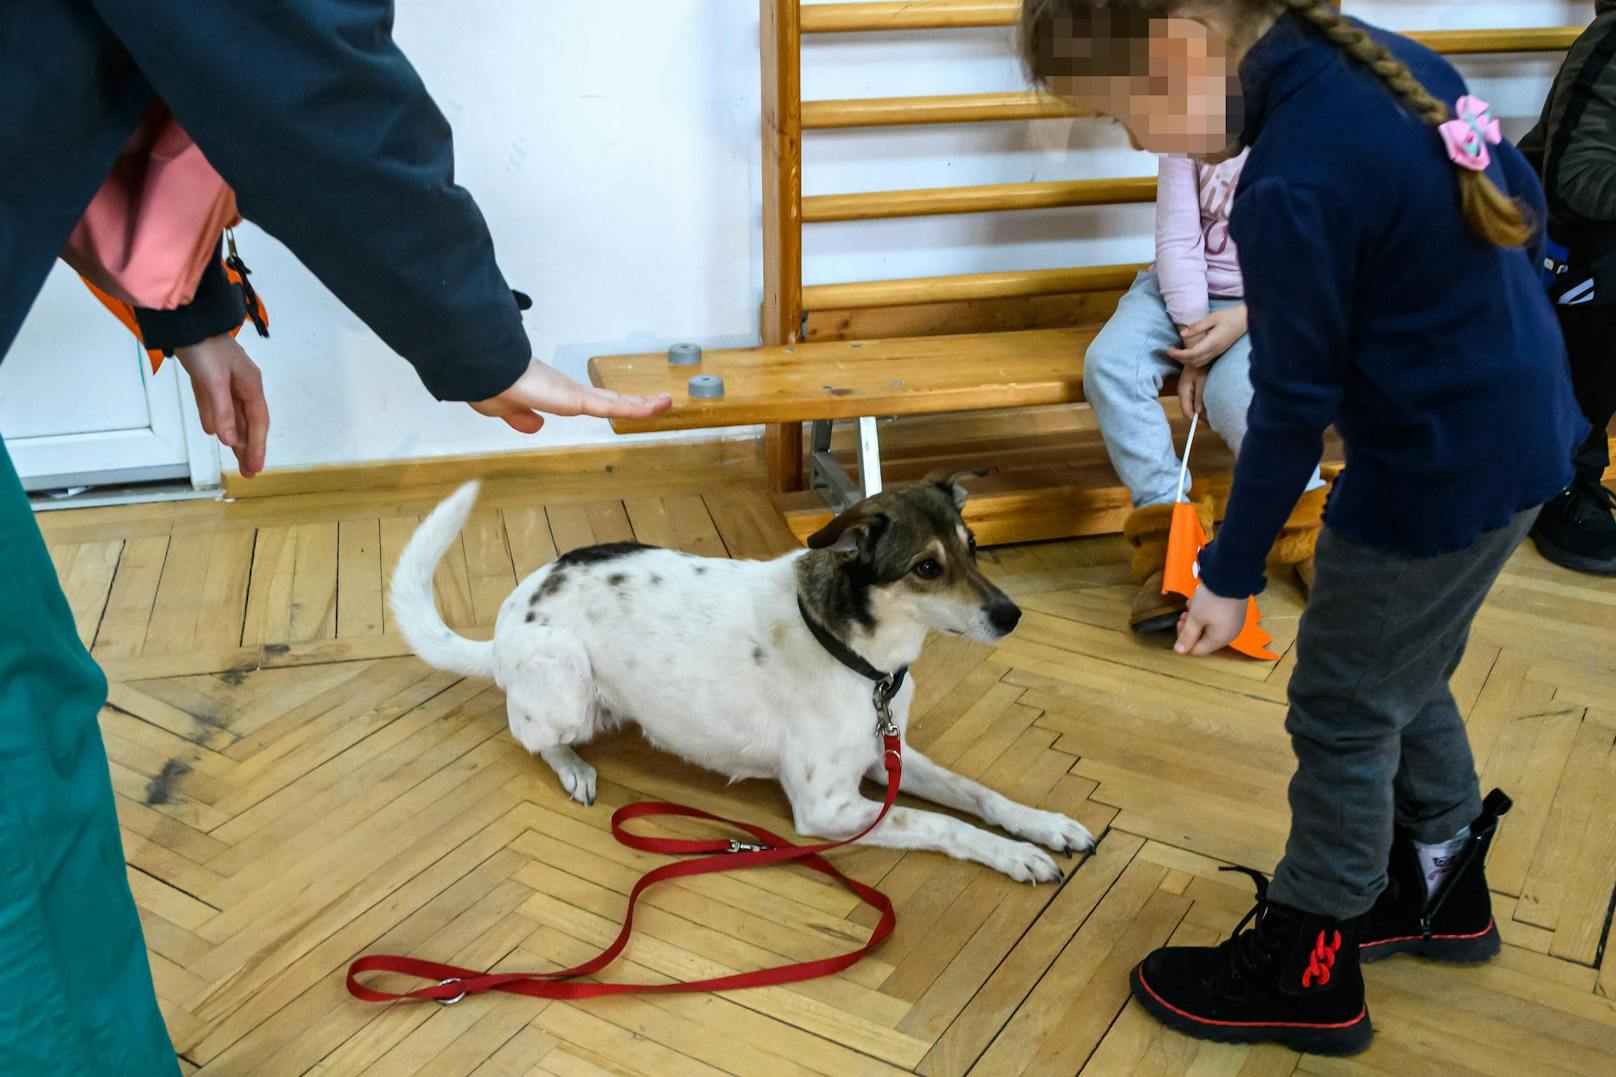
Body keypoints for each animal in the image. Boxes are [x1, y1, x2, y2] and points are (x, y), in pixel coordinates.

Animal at [391, 475, 1098, 879]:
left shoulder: (885, 753)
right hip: (562, 682)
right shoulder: (829, 807)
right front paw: (1016, 855)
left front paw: (1044, 826)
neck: (863, 660)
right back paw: (574, 767)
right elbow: (944, 824)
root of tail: (508, 619)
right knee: (532, 735)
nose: (1011, 616)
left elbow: (978, 795)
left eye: (973, 548)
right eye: (927, 567)